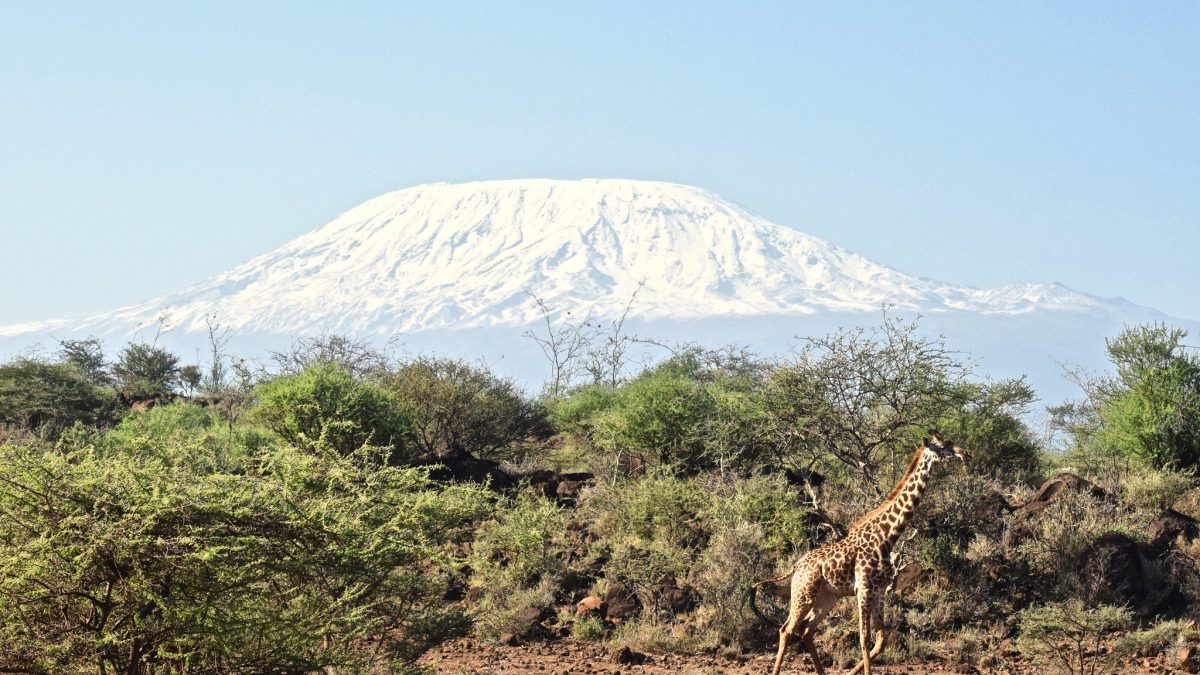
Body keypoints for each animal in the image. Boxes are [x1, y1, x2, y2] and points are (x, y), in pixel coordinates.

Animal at [748, 431, 967, 675]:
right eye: (943, 445)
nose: (964, 453)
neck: (887, 537)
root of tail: (796, 566)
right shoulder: (863, 588)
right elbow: (864, 638)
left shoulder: (880, 591)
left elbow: (880, 641)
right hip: (804, 592)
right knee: (786, 629)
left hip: (827, 597)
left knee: (806, 630)